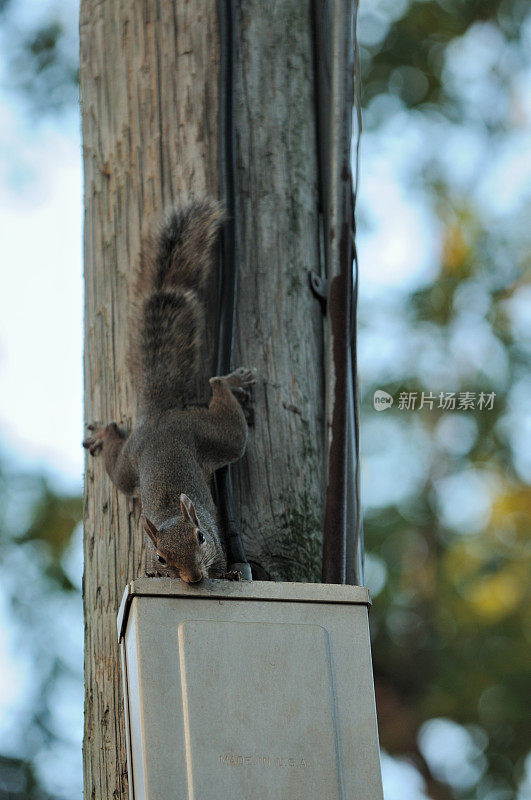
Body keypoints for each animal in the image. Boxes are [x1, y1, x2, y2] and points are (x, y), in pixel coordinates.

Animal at [84, 200, 255, 584]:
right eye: (161, 558)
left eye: (201, 537)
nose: (193, 578)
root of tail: (158, 415)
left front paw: (230, 575)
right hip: (130, 465)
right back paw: (102, 434)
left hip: (211, 436)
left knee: (220, 399)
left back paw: (231, 382)